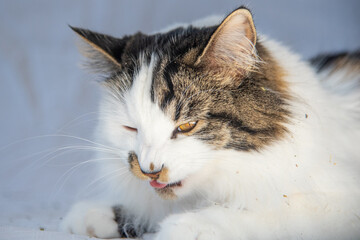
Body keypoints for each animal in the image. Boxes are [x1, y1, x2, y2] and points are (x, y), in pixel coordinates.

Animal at [60, 6, 360, 239]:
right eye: (131, 128)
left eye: (186, 126)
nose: (150, 171)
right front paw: (101, 213)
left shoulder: (337, 202)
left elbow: (273, 211)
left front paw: (190, 225)